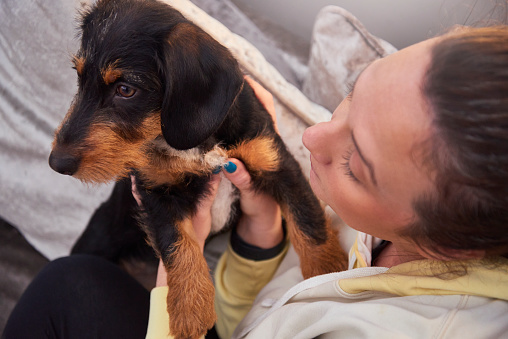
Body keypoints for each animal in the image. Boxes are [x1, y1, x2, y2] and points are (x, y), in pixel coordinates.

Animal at [49, 0, 348, 338]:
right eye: (79, 78)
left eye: (125, 89)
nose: (57, 162)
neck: (189, 141)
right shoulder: (155, 191)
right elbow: (177, 242)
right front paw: (190, 307)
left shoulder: (276, 163)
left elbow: (307, 220)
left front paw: (326, 270)